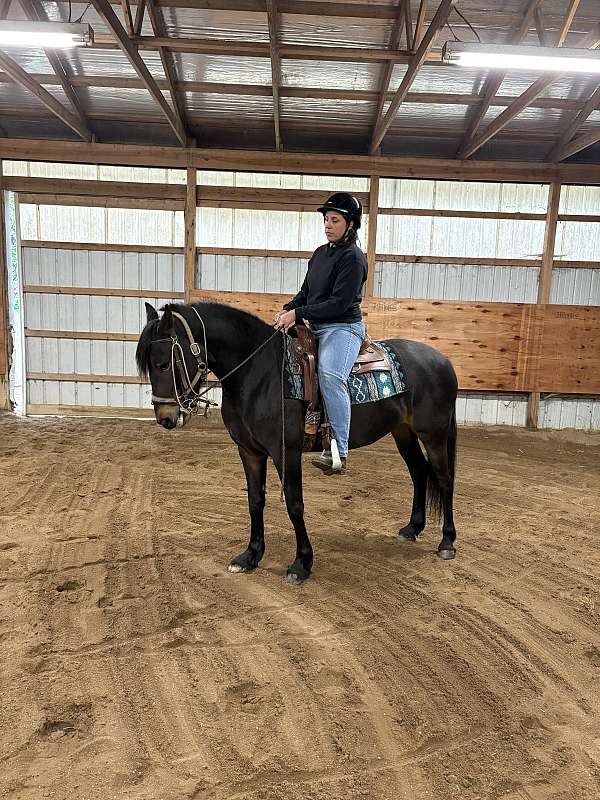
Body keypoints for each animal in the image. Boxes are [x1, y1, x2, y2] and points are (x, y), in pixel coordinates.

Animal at [136, 301, 458, 583]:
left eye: (163, 364)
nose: (165, 418)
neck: (259, 373)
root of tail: (442, 360)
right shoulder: (249, 452)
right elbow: (255, 501)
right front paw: (250, 556)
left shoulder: (286, 453)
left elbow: (294, 504)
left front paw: (301, 563)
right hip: (402, 432)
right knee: (418, 472)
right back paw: (412, 528)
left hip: (434, 434)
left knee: (443, 479)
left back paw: (446, 542)